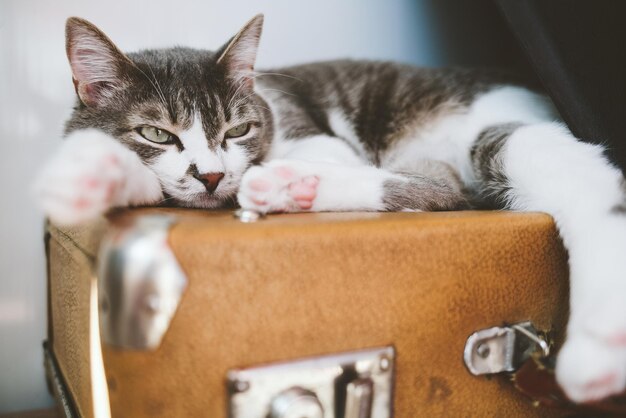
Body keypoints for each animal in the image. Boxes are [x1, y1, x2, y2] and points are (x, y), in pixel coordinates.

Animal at [33, 14, 624, 404]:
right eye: (156, 133)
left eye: (238, 129)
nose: (213, 175)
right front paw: (92, 174)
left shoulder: (314, 133)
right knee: (445, 187)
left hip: (487, 129)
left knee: (539, 182)